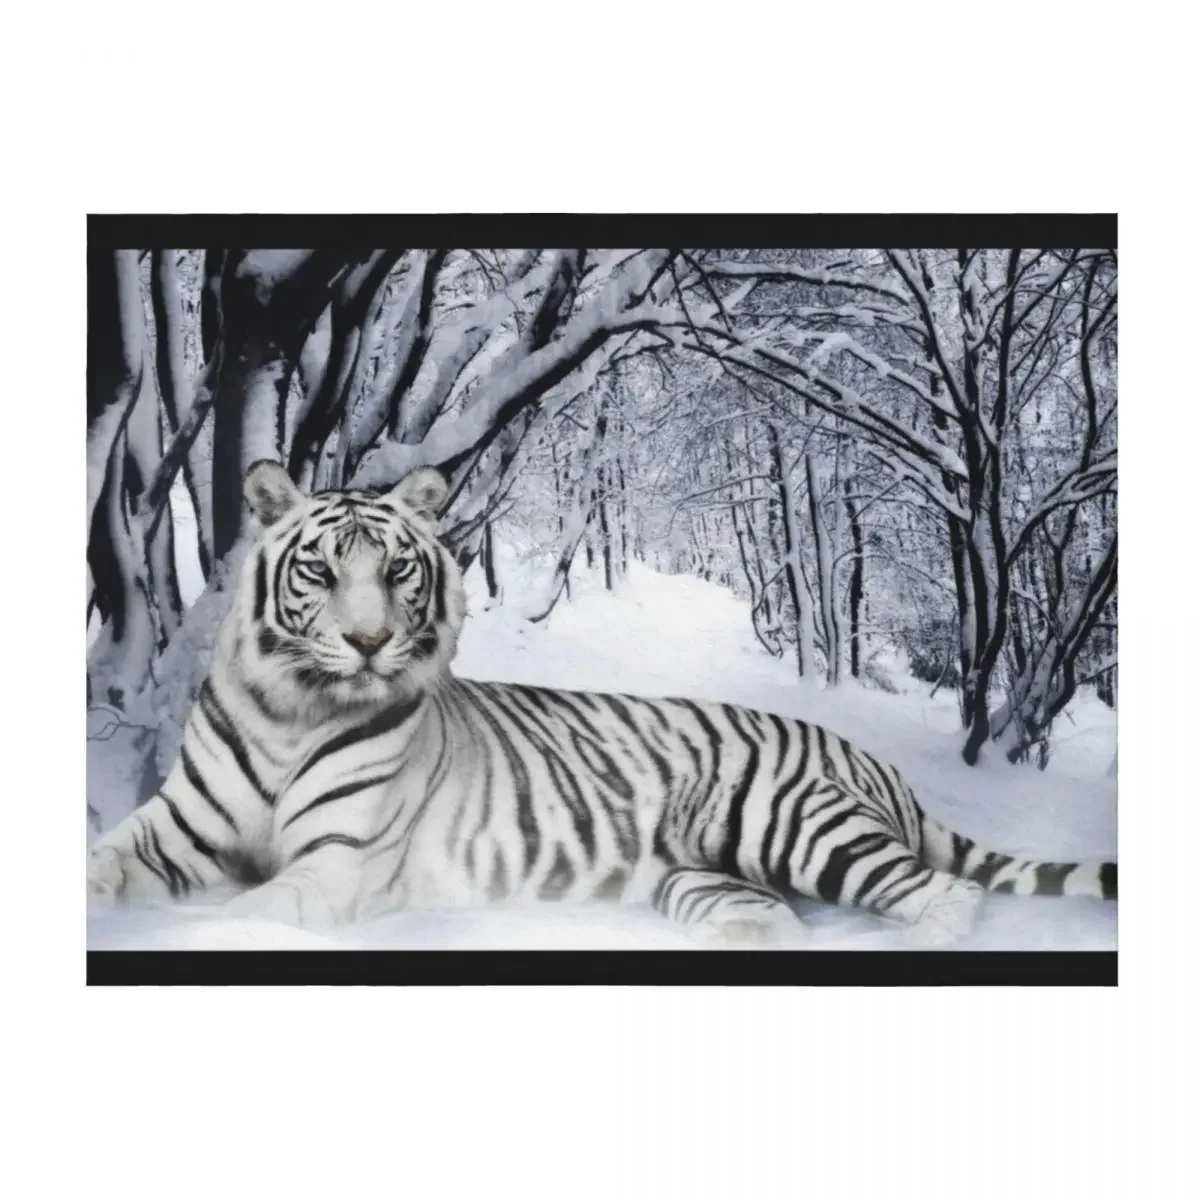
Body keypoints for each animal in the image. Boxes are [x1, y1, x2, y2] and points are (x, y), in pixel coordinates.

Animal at [85, 461, 1118, 947]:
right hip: (701, 877)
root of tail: (875, 760)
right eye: (321, 571)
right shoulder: (172, 830)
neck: (290, 711)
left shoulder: (335, 864)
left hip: (794, 824)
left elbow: (241, 915)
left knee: (944, 892)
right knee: (775, 916)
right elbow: (101, 864)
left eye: (398, 570)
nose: (372, 642)